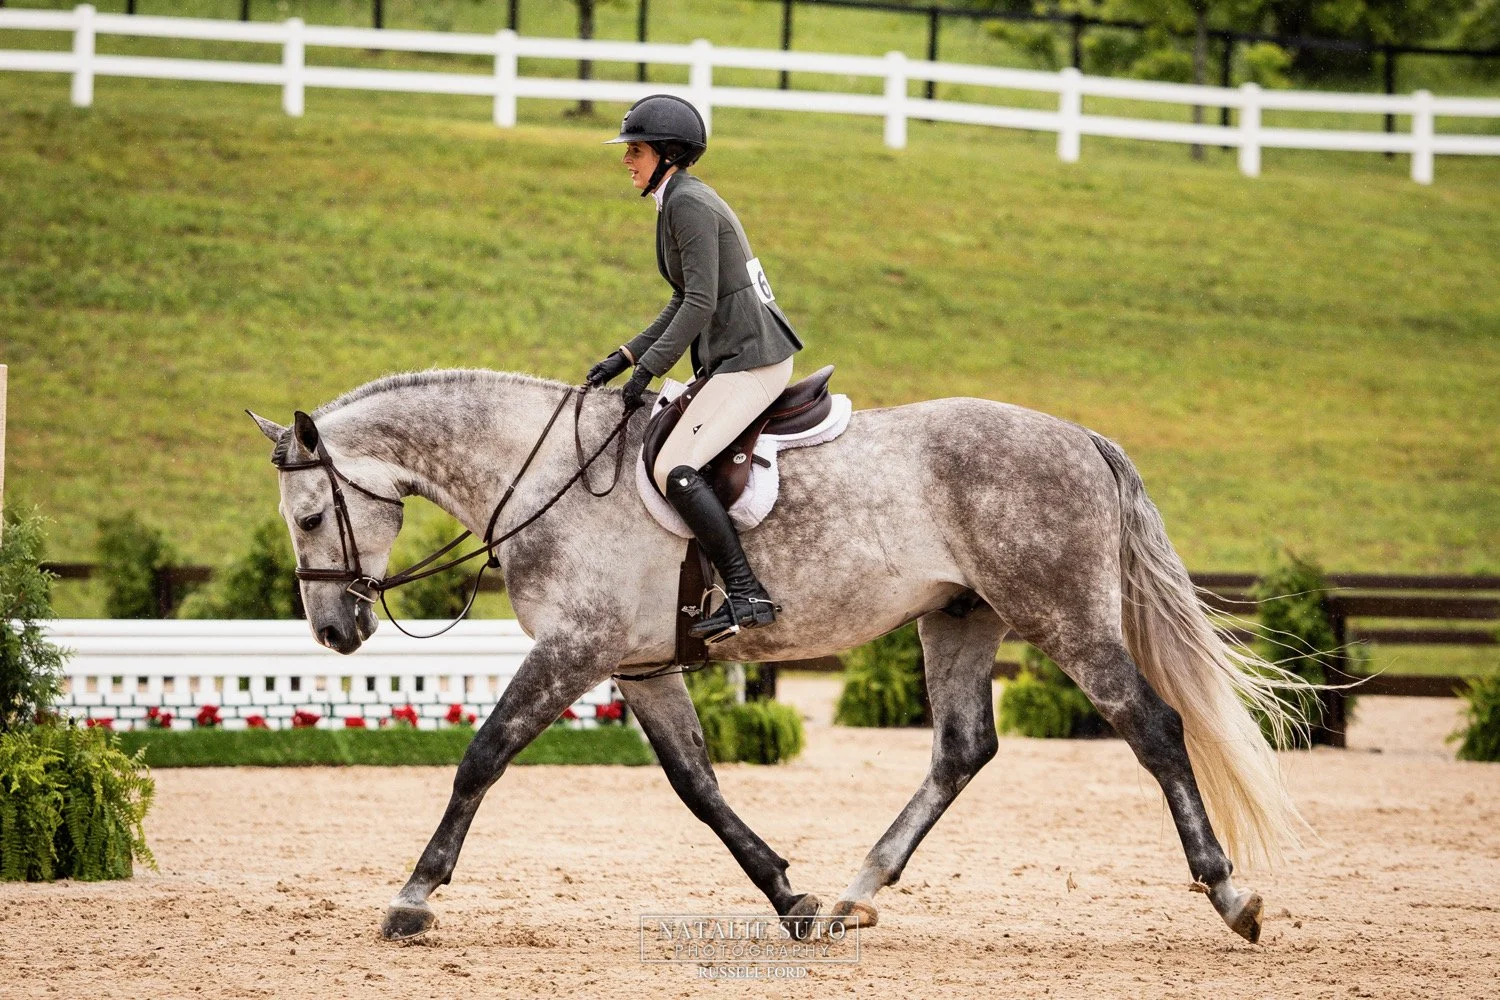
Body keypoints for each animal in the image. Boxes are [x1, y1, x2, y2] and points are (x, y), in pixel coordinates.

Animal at [247, 368, 1309, 945]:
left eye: (310, 517)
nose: (335, 632)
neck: (546, 474)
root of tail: (1079, 437)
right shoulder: (641, 666)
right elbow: (699, 787)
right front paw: (789, 896)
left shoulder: (576, 649)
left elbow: (482, 756)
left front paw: (412, 898)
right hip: (959, 619)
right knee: (962, 750)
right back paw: (851, 896)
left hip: (1059, 617)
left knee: (1152, 727)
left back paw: (1230, 893)